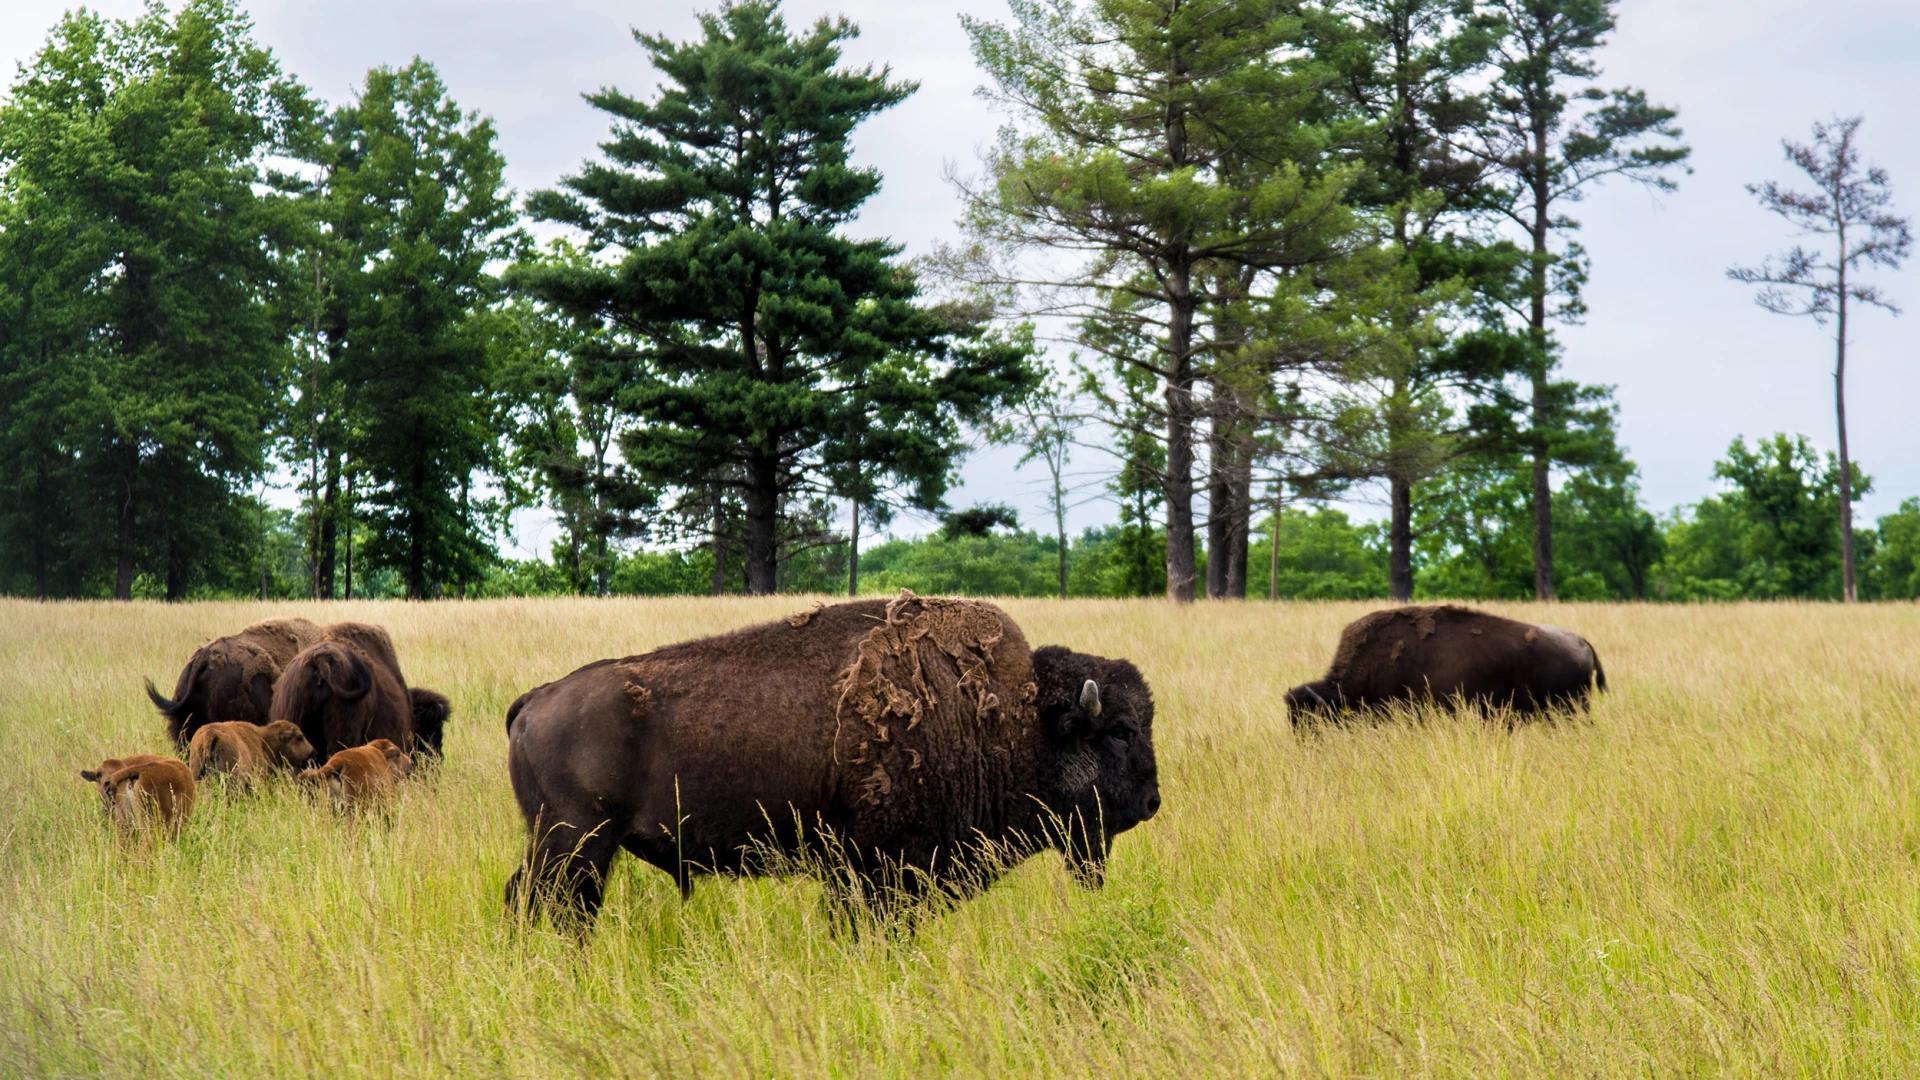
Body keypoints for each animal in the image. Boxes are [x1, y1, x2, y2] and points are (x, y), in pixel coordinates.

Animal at [503, 591, 1152, 922]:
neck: (1016, 721)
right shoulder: (880, 869)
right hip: (576, 842)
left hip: (570, 846)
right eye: (1120, 732)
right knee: (545, 904)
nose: (1152, 801)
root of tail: (538, 697)